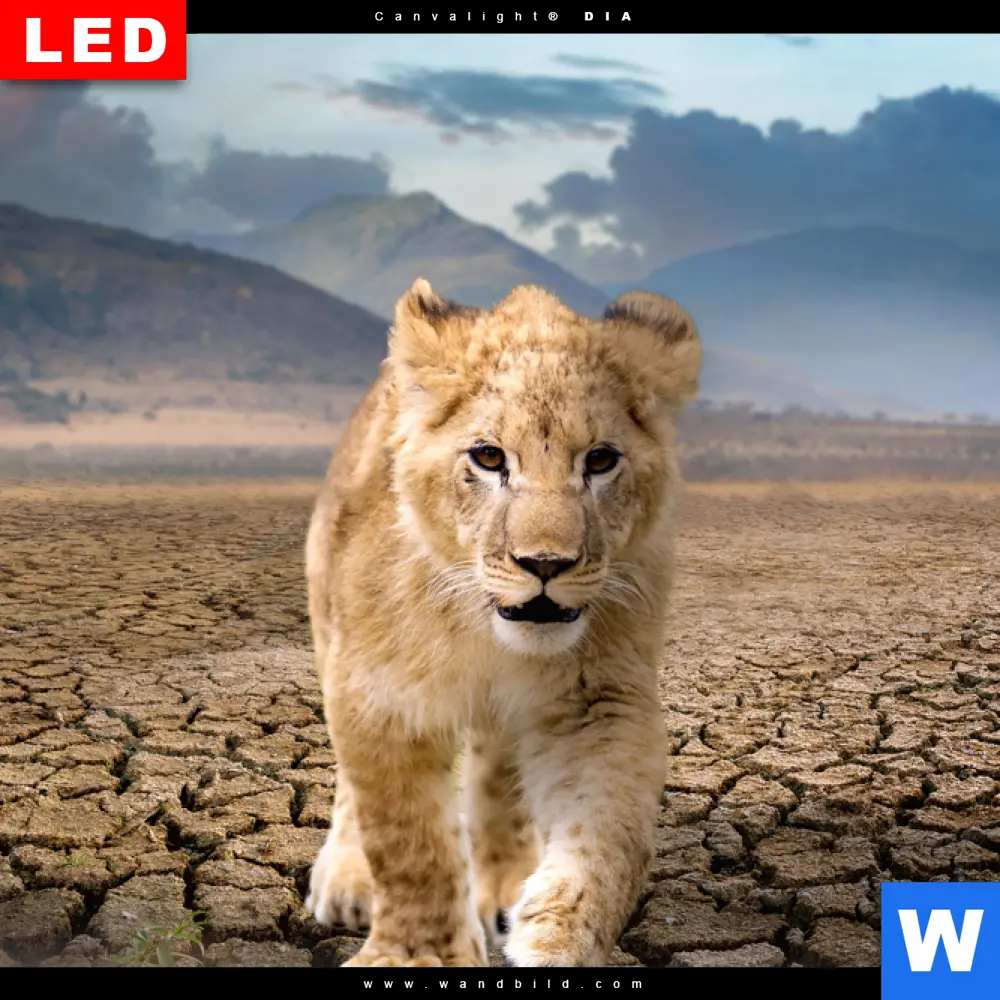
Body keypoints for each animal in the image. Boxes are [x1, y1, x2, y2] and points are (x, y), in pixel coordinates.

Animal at [303, 278, 702, 967]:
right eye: (489, 457)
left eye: (600, 460)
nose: (545, 563)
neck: (488, 637)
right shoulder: (379, 696)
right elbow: (408, 843)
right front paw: (420, 955)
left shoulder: (599, 698)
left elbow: (610, 833)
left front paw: (560, 934)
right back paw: (349, 880)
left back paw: (506, 888)